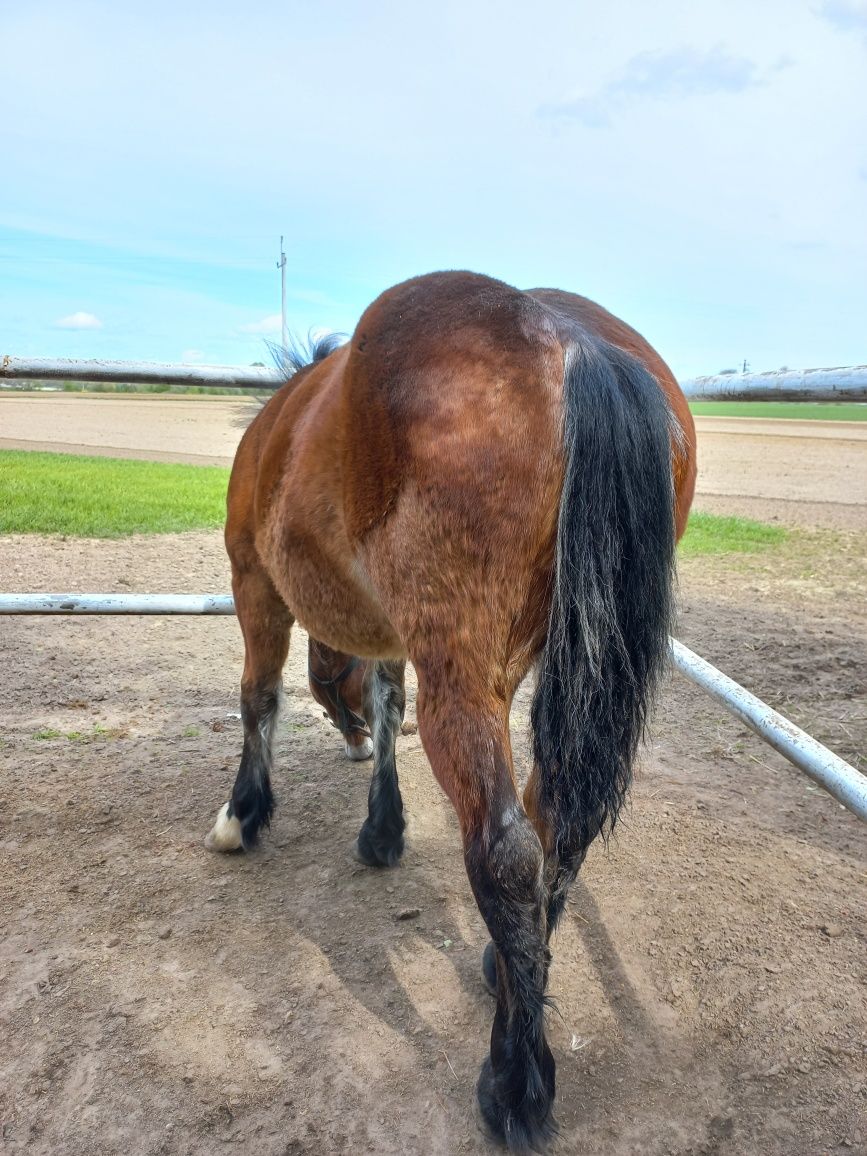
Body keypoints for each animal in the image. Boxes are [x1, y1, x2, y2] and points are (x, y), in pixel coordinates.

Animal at [206, 270, 698, 1146]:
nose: (350, 744)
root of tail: (572, 339)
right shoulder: (392, 636)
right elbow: (385, 696)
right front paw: (381, 828)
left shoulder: (254, 585)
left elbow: (257, 697)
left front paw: (243, 815)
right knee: (554, 830)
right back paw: (509, 970)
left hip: (461, 677)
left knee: (507, 849)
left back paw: (514, 1083)